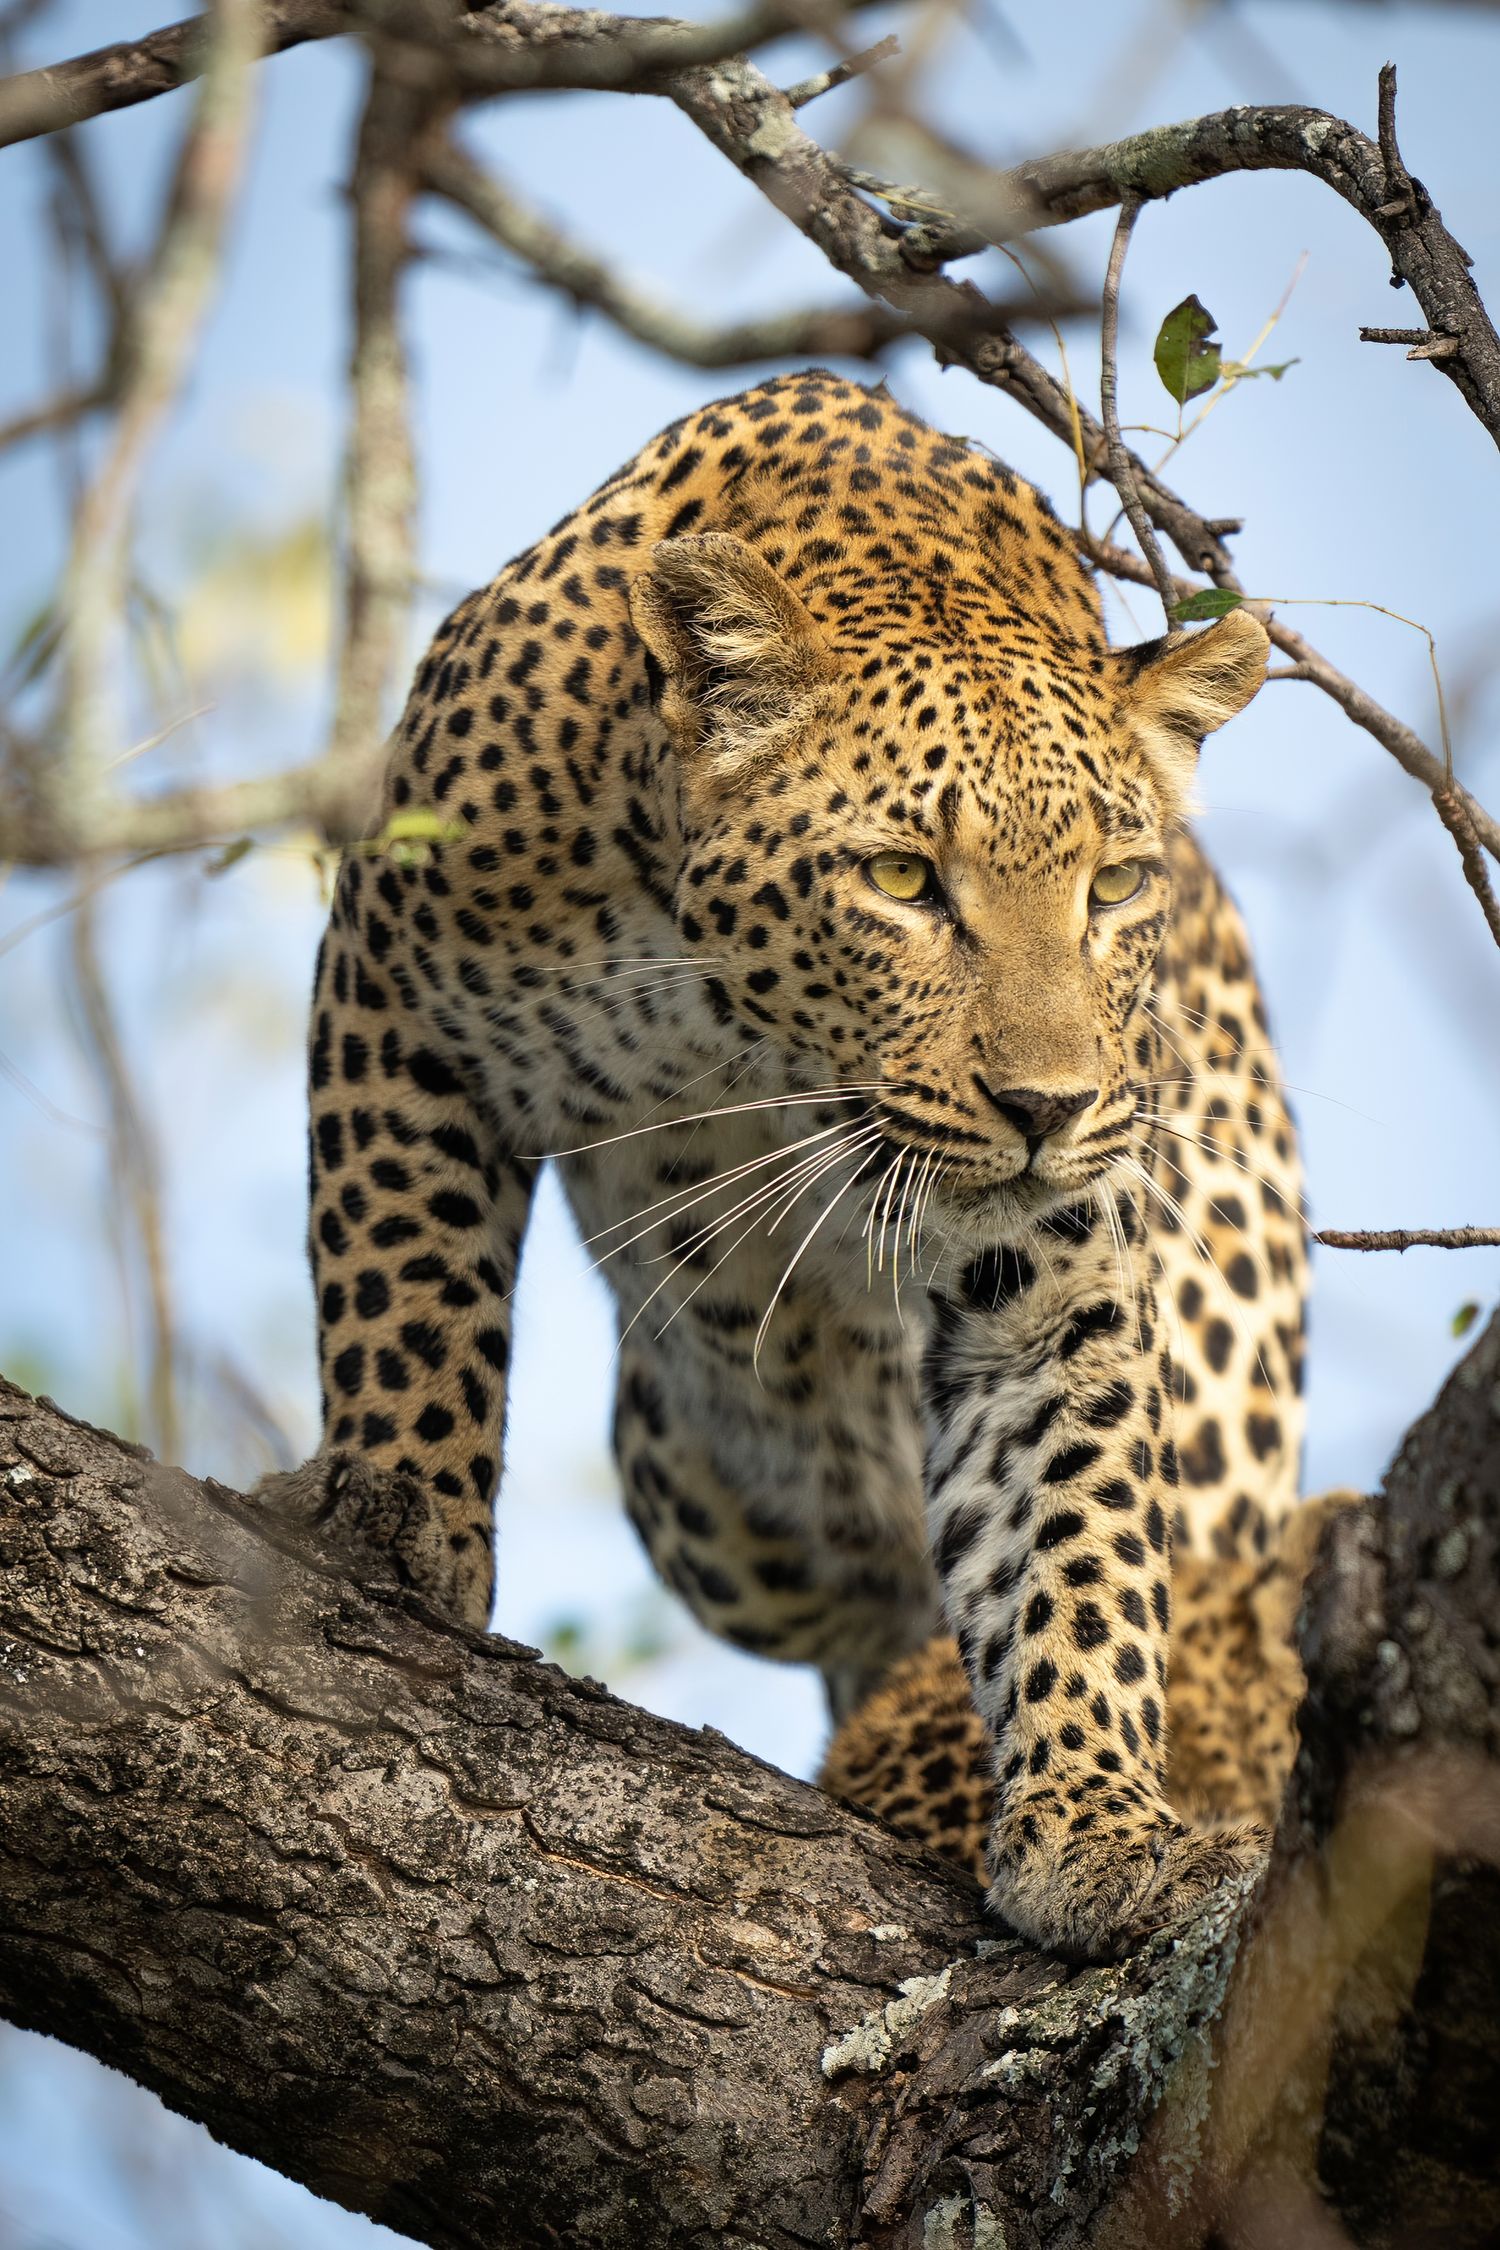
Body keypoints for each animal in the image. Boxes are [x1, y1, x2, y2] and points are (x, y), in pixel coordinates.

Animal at [258, 367, 1309, 1963]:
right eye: (903, 879)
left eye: (1118, 885)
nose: (1049, 1103)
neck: (749, 1025)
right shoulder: (393, 979)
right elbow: (405, 1282)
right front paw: (399, 1526)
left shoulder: (1051, 1255)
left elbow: (1072, 1523)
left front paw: (1093, 1823)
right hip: (703, 1502)